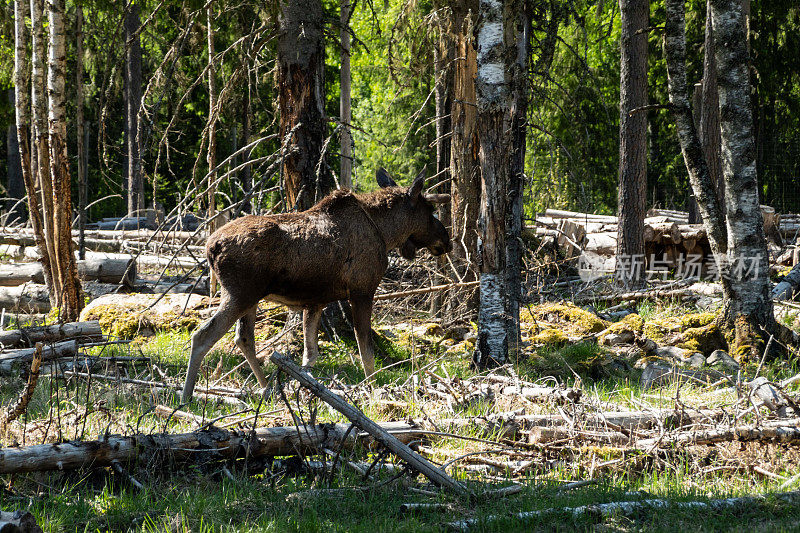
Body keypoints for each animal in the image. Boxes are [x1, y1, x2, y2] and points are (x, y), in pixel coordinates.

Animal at [184, 166, 454, 400]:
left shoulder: (315, 302)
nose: (447, 240)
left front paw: (306, 388)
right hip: (240, 293)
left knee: (243, 338)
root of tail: (210, 247)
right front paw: (372, 387)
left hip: (250, 298)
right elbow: (365, 349)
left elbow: (310, 355)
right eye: (430, 210)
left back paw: (267, 388)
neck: (386, 233)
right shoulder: (362, 290)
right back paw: (187, 396)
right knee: (203, 335)